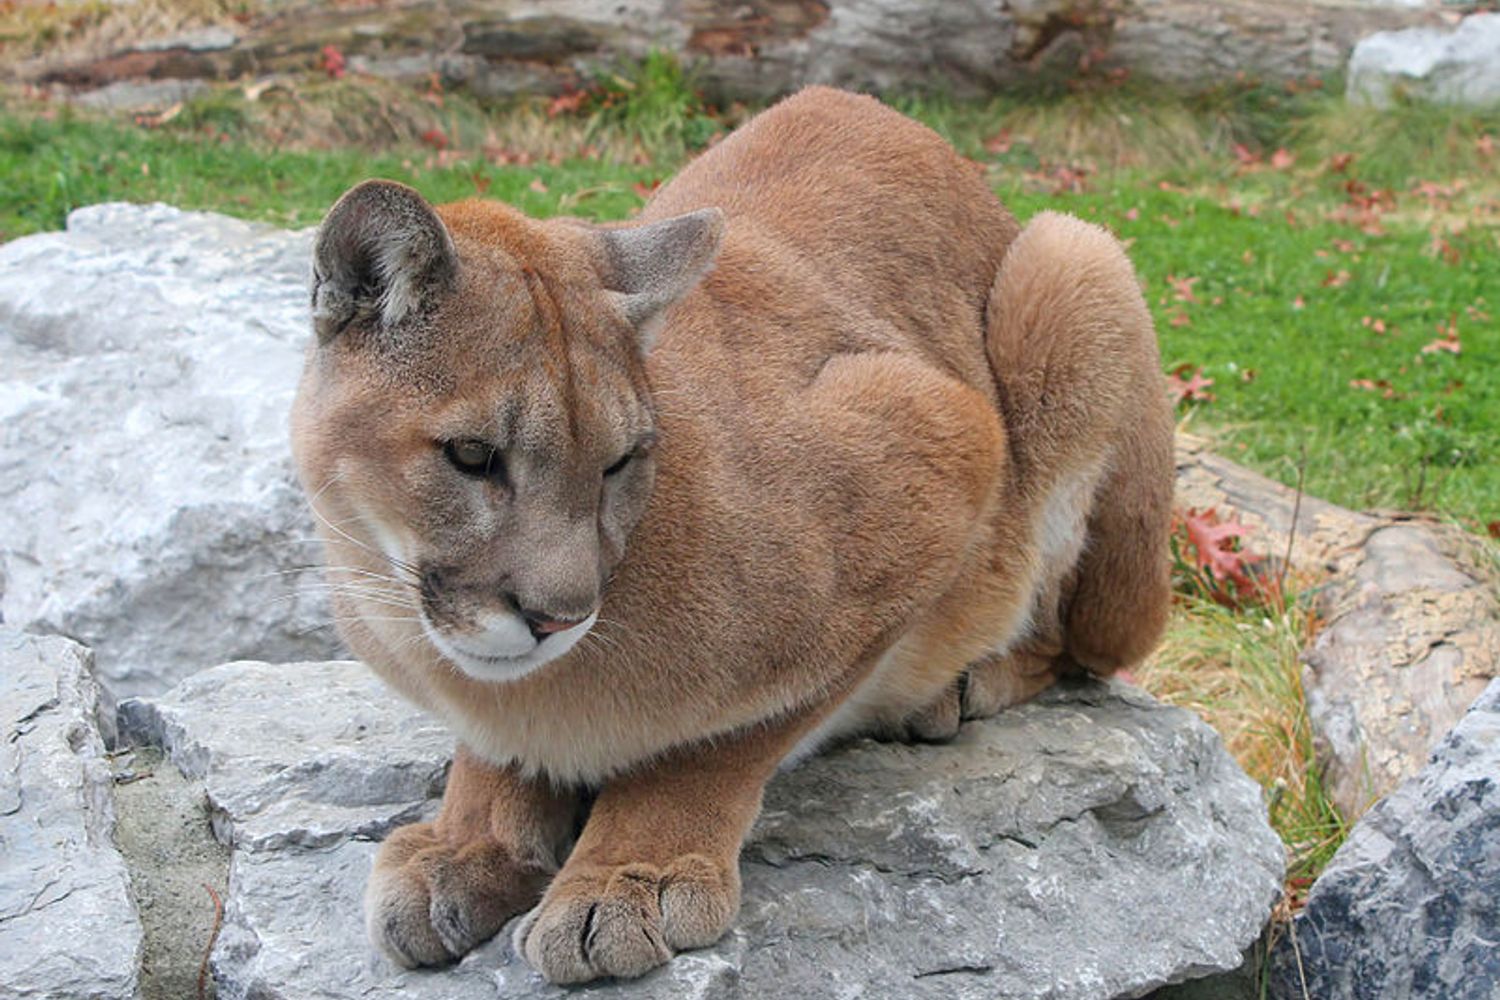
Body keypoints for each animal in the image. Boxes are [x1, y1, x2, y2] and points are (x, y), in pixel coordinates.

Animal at [289, 86, 1173, 984]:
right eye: (471, 456)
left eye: (619, 462)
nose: (558, 617)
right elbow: (495, 742)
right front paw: (469, 841)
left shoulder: (940, 437)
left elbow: (722, 735)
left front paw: (630, 871)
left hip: (1074, 266)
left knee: (1083, 642)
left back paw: (964, 686)